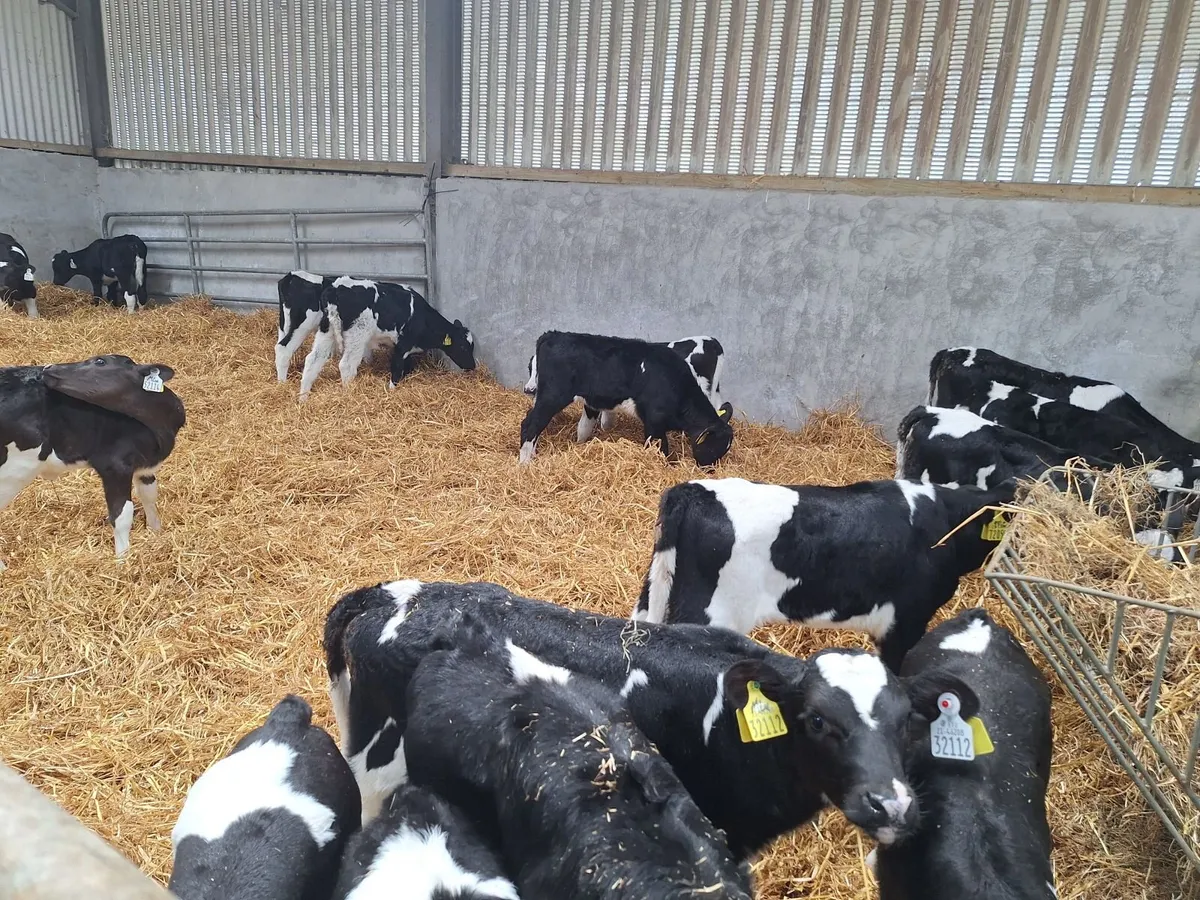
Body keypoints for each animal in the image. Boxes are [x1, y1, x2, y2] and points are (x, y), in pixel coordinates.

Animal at [0, 355, 185, 569]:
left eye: (100, 361)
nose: (47, 367)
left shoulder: (144, 466)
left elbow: (149, 495)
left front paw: (155, 532)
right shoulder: (114, 466)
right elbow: (121, 515)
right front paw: (123, 561)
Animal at [297, 277, 476, 399]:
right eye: (462, 346)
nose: (473, 366)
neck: (421, 317)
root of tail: (335, 288)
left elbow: (406, 367)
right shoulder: (403, 344)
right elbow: (396, 369)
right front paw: (392, 391)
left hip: (326, 330)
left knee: (313, 359)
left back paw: (303, 397)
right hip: (357, 335)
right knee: (347, 366)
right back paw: (349, 394)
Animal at [519, 331, 734, 466]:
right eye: (714, 447)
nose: (709, 470)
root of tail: (552, 334)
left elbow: (585, 428)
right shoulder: (654, 423)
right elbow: (660, 449)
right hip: (553, 395)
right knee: (530, 424)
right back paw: (525, 463)